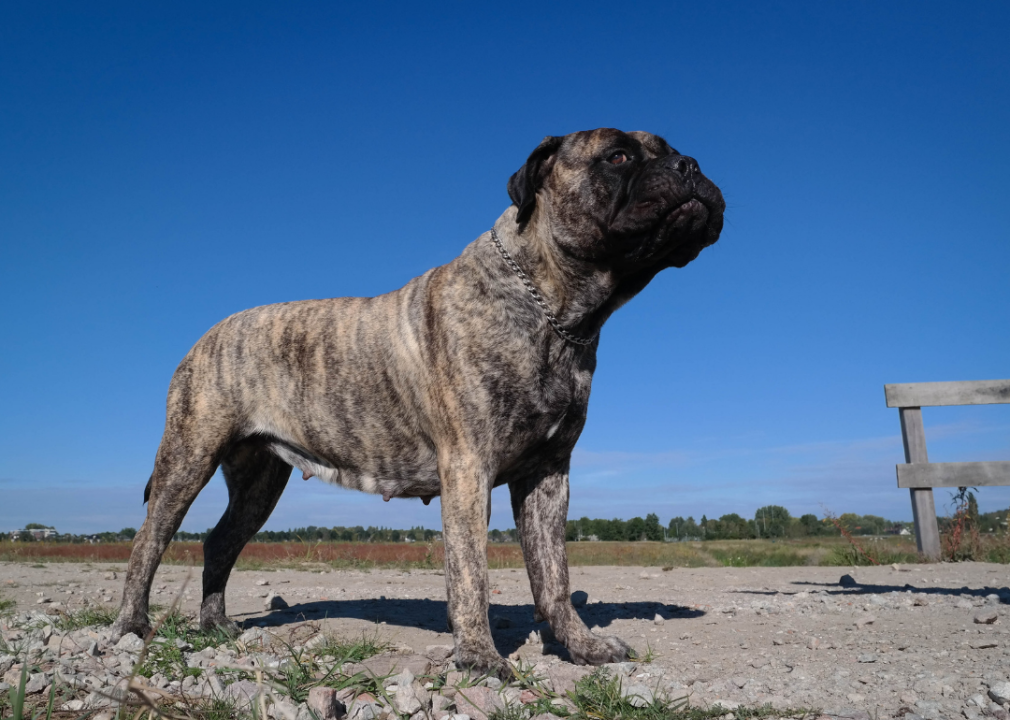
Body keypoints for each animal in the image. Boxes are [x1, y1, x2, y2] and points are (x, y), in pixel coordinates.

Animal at [112, 127, 727, 674]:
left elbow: (554, 576)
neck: (556, 312)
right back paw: (131, 627)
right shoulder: (469, 468)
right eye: (618, 155)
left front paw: (583, 647)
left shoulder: (549, 474)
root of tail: (206, 335)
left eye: (672, 149)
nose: (691, 165)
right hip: (188, 457)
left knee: (219, 543)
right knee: (148, 542)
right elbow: (471, 573)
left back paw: (215, 624)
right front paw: (479, 657)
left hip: (260, 479)